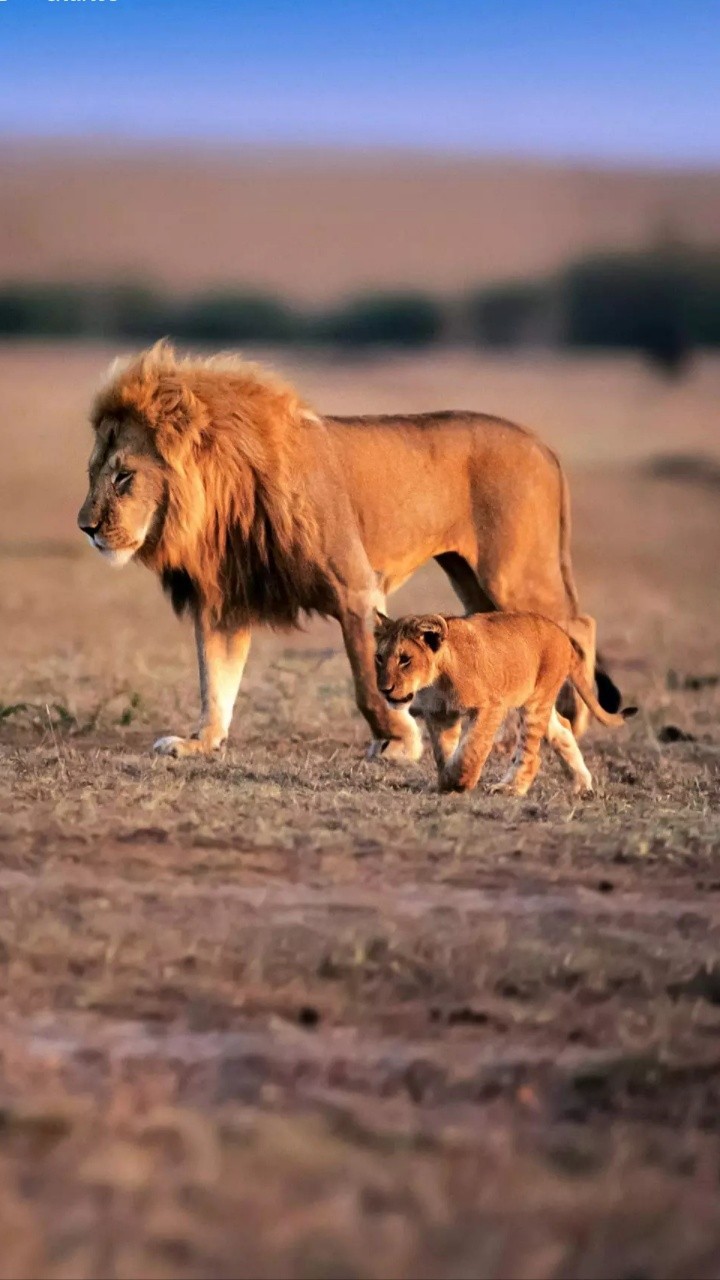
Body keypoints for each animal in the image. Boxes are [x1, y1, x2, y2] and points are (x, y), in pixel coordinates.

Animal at [77, 341, 620, 760]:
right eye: (92, 474)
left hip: (512, 572)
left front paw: (399, 742)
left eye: (124, 477)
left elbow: (365, 682)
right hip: (473, 579)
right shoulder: (225, 602)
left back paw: (573, 716)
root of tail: (543, 446)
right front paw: (198, 743)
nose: (87, 528)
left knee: (578, 626)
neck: (224, 499)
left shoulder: (355, 588)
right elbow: (215, 682)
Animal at [374, 610, 635, 795]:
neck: (436, 680)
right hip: (538, 701)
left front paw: (461, 782)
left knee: (531, 754)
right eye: (379, 657)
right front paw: (445, 781)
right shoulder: (440, 714)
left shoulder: (491, 706)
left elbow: (471, 749)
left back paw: (510, 788)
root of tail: (563, 635)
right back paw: (582, 785)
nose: (384, 690)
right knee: (563, 728)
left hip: (535, 704)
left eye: (405, 659)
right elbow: (444, 752)